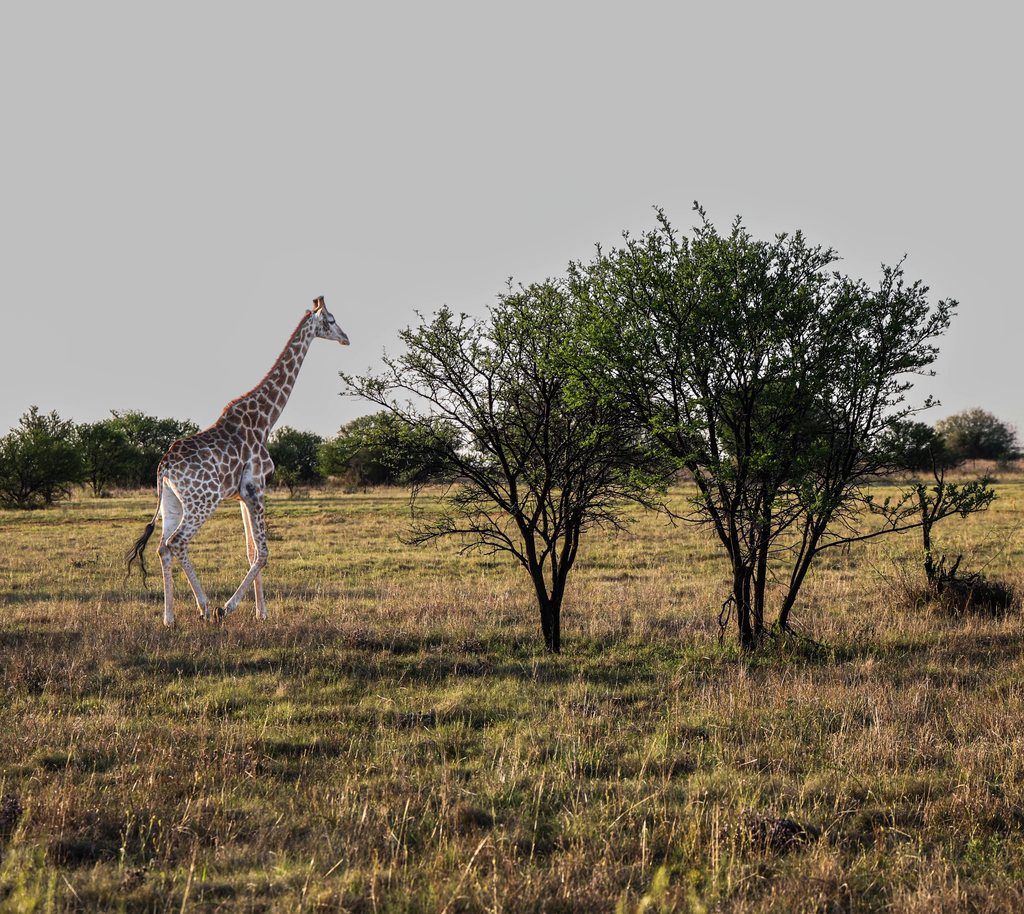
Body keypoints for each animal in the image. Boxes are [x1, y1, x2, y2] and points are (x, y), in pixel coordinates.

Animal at [126, 296, 349, 626]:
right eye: (331, 320)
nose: (346, 338)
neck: (265, 419)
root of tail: (164, 467)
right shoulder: (256, 487)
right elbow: (264, 553)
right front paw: (228, 607)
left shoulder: (243, 494)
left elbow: (250, 551)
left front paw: (261, 612)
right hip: (203, 501)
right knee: (177, 543)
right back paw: (206, 607)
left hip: (172, 503)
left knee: (163, 548)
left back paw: (169, 618)